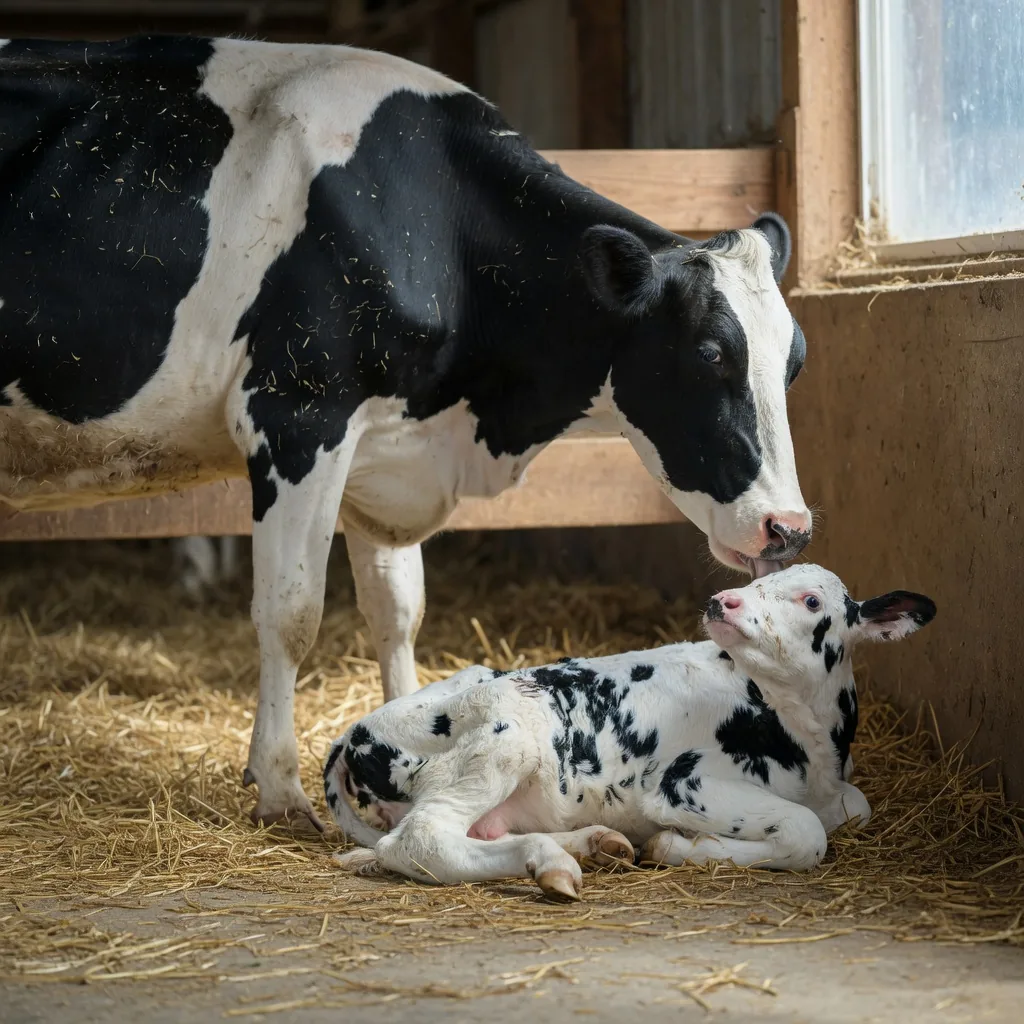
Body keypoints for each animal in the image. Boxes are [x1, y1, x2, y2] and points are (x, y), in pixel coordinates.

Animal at [0, 36, 812, 831]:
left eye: (796, 360)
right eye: (708, 354)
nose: (789, 528)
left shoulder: (385, 452)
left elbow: (398, 612)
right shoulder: (298, 417)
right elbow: (291, 613)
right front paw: (279, 789)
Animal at [324, 565, 936, 899]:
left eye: (811, 601)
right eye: (758, 579)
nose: (723, 601)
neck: (808, 743)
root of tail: (352, 732)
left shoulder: (838, 789)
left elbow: (855, 808)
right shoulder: (683, 783)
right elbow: (807, 833)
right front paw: (676, 845)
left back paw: (596, 844)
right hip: (503, 734)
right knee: (419, 840)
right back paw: (553, 863)